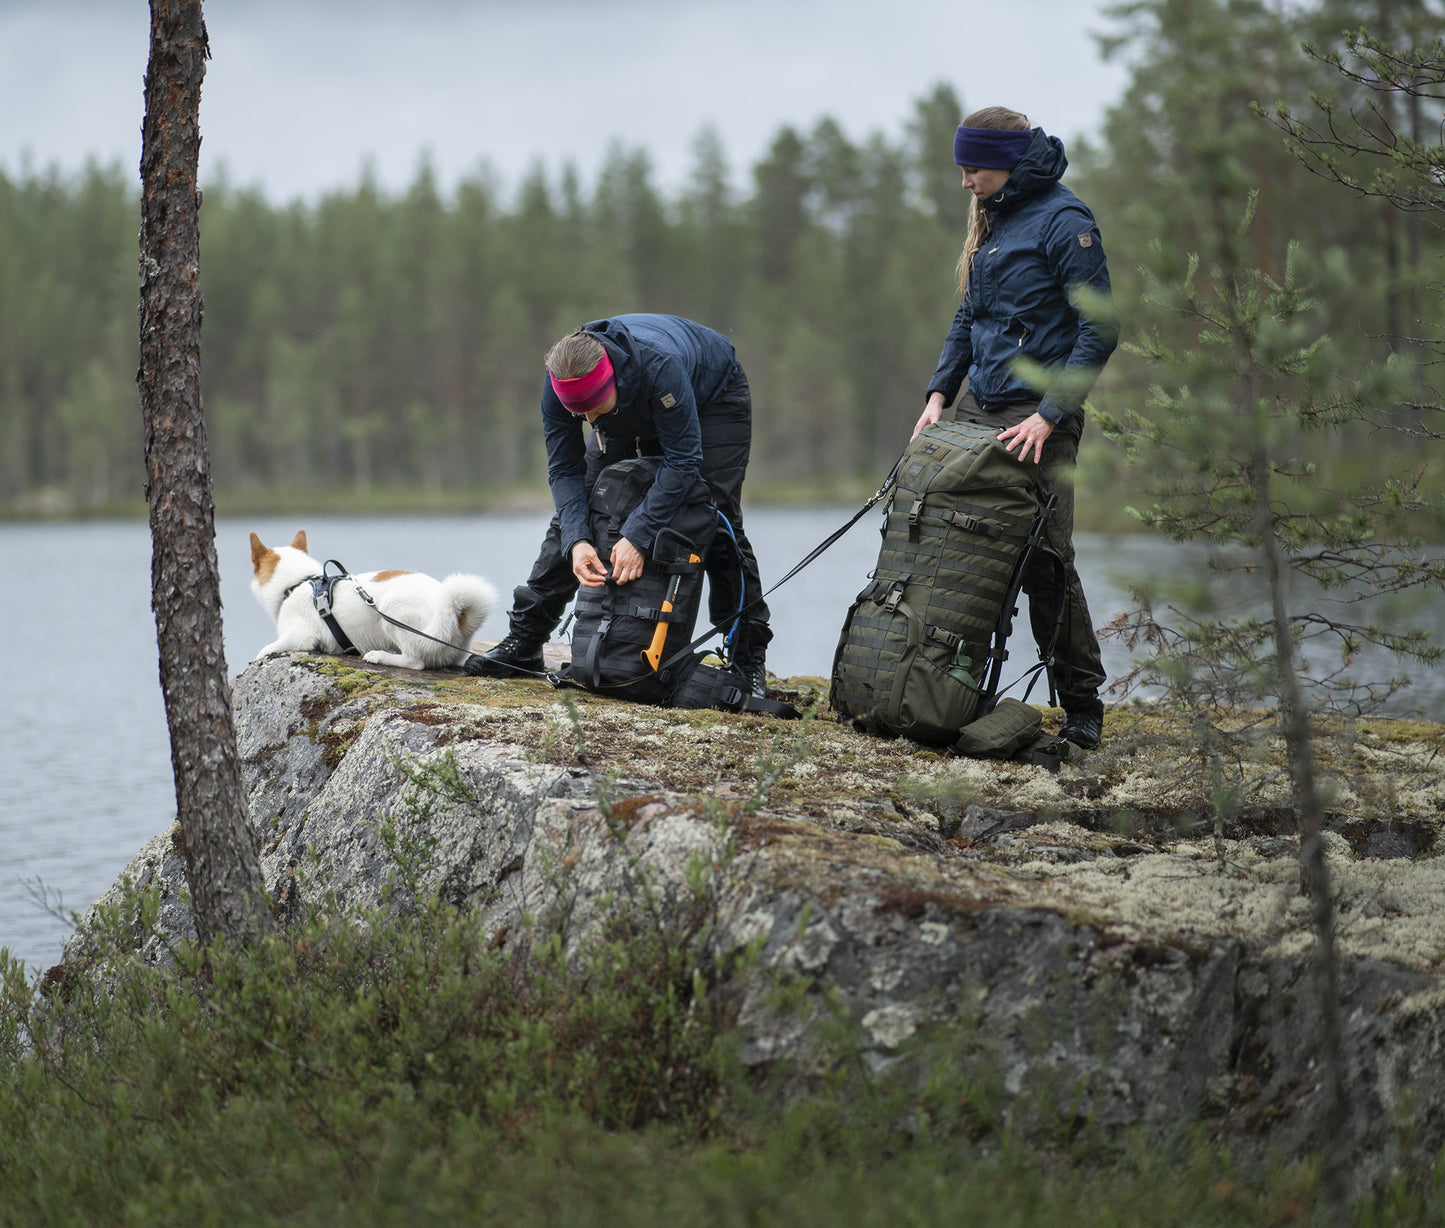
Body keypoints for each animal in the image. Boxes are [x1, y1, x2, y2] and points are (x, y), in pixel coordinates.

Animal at [248, 528, 497, 670]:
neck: (300, 581)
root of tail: (456, 617)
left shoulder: (301, 636)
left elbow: (265, 650)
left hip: (392, 612)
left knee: (415, 662)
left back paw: (380, 656)